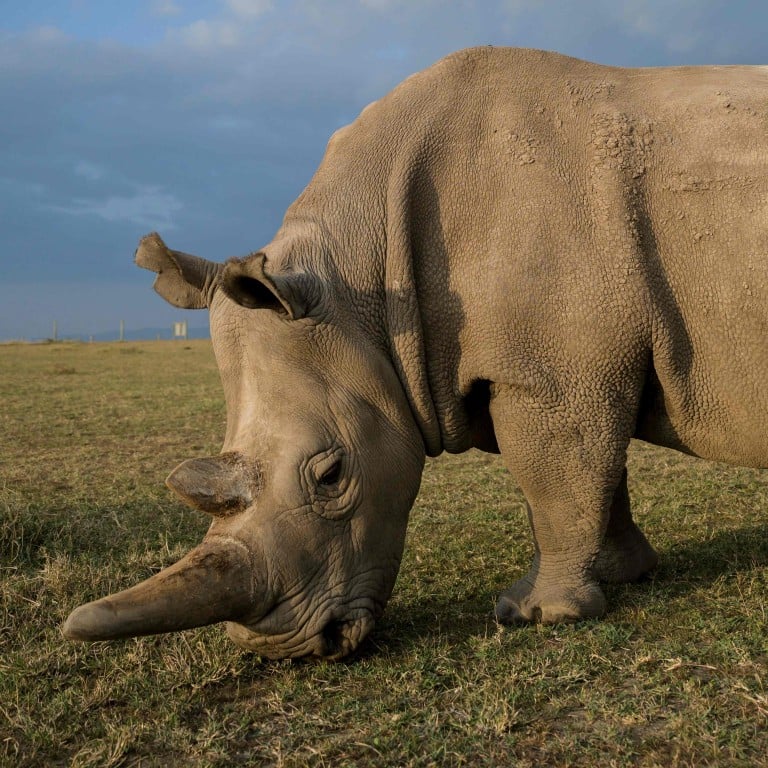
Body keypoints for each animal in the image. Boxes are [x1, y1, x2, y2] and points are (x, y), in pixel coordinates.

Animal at [63, 47, 768, 659]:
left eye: (331, 476)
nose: (289, 650)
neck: (363, 282)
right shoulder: (570, 367)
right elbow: (592, 476)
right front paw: (623, 576)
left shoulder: (551, 376)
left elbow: (555, 479)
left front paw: (534, 614)